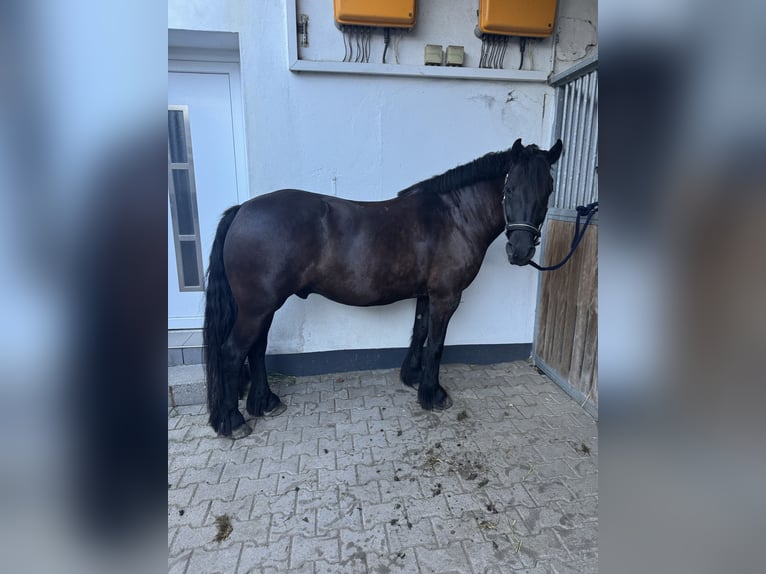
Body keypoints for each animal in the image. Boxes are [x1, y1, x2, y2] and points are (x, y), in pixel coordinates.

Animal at [204, 138, 563, 438]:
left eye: (548, 190)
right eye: (509, 189)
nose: (520, 251)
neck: (453, 217)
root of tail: (242, 210)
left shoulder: (426, 294)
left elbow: (420, 333)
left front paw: (413, 378)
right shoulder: (446, 296)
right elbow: (436, 344)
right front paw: (433, 394)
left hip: (263, 307)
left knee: (257, 349)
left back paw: (265, 402)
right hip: (257, 307)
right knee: (233, 352)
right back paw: (234, 421)